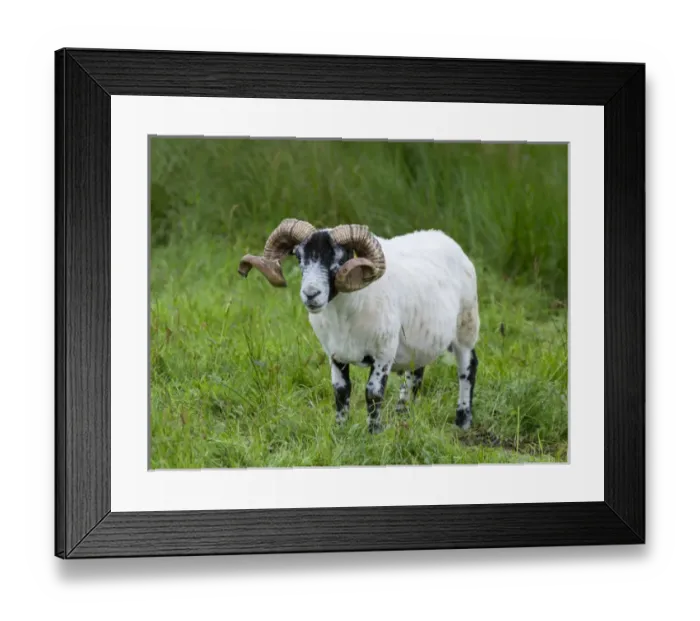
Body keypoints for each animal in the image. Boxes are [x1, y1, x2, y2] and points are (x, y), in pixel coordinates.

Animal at [238, 218, 480, 434]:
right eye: (298, 256)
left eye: (340, 258)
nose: (311, 294)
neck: (345, 314)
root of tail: (445, 237)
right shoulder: (335, 353)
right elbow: (341, 391)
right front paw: (340, 429)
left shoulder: (384, 352)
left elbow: (373, 393)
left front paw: (374, 432)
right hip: (418, 340)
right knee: (415, 373)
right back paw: (403, 413)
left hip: (466, 326)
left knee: (468, 368)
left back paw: (463, 420)